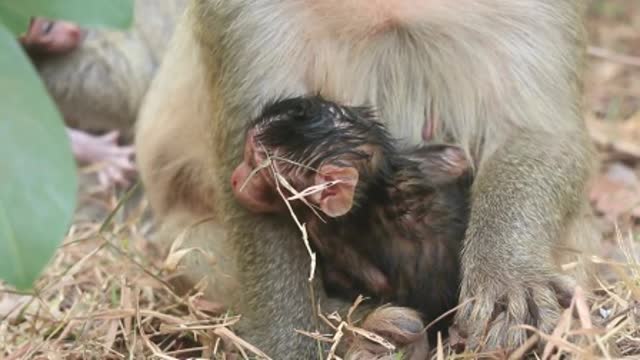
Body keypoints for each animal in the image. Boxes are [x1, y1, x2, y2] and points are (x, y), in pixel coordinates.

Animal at [136, 0, 600, 358]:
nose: (243, 182)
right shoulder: (236, 12)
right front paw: (299, 340)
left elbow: (539, 133)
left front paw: (508, 276)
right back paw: (365, 331)